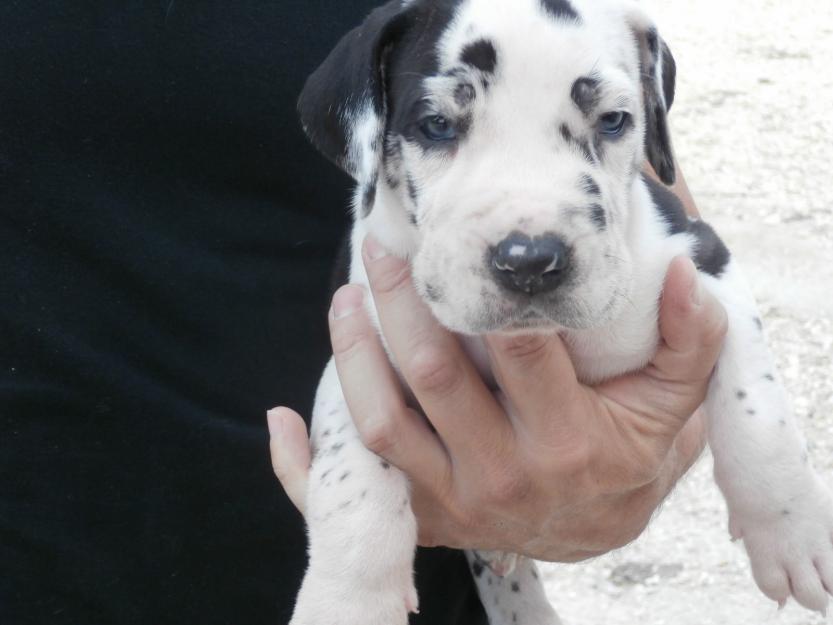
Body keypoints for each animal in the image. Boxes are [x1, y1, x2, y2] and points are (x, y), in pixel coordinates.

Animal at [290, 0, 832, 620]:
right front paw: (345, 600)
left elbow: (758, 410)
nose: (529, 259)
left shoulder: (703, 261)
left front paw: (792, 531)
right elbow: (352, 478)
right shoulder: (356, 353)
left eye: (613, 120)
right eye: (438, 125)